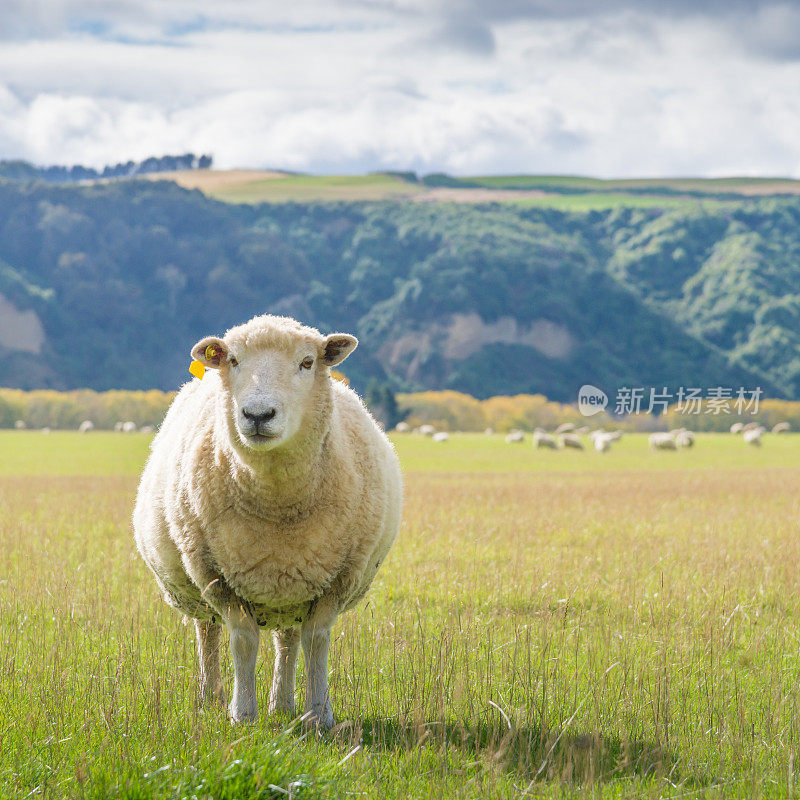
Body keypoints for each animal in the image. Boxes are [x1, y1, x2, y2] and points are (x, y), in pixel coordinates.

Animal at [135, 314, 406, 732]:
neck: (279, 504)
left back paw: (283, 704)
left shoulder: (336, 580)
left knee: (288, 640)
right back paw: (211, 699)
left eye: (308, 362)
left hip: (291, 586)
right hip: (200, 582)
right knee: (208, 634)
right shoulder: (218, 577)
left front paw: (319, 716)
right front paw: (243, 715)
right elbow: (243, 641)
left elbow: (316, 641)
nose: (258, 415)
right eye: (232, 360)